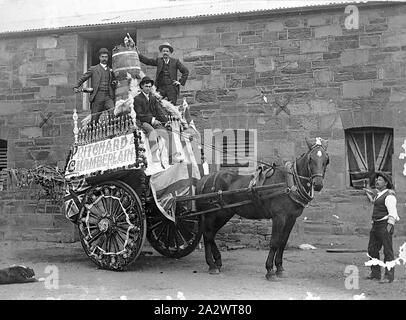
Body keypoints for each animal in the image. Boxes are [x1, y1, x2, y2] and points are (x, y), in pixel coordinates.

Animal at [196, 137, 330, 280]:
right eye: (310, 159)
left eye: (326, 159)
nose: (318, 184)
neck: (289, 182)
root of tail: (205, 179)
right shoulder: (279, 217)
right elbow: (274, 242)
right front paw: (270, 270)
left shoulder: (291, 218)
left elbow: (283, 242)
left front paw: (280, 268)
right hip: (215, 214)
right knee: (208, 234)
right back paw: (212, 265)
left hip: (224, 213)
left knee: (209, 234)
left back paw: (216, 262)